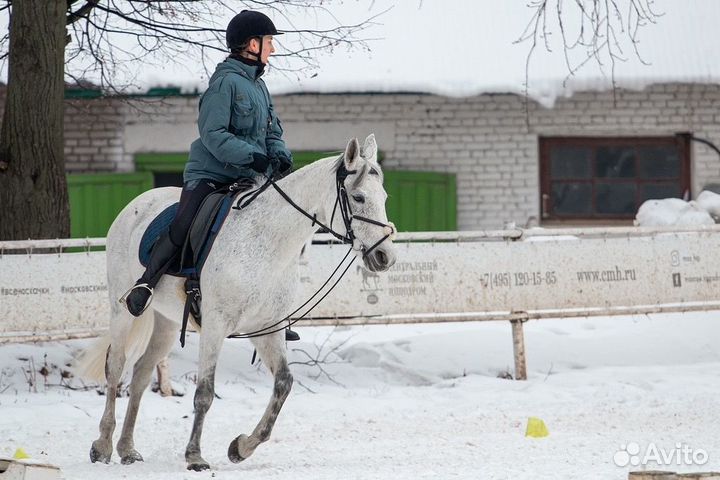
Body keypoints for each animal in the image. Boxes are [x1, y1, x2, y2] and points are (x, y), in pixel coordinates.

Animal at [76, 134, 397, 471]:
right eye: (358, 197)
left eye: (384, 196)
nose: (384, 256)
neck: (267, 243)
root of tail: (136, 204)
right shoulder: (215, 326)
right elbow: (204, 393)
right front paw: (195, 456)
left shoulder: (268, 329)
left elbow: (284, 383)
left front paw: (241, 447)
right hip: (122, 310)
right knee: (116, 366)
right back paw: (103, 446)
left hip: (166, 322)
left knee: (140, 373)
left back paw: (127, 449)